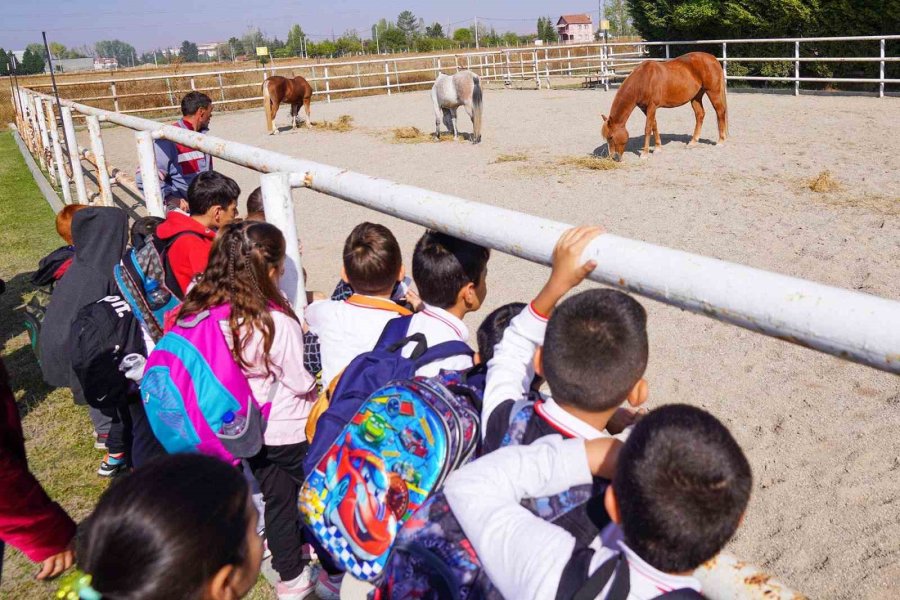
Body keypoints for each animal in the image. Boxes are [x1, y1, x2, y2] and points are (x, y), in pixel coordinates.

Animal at [600, 52, 728, 159]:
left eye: (610, 137)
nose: (613, 158)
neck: (642, 80)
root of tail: (713, 59)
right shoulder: (645, 108)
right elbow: (654, 125)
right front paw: (657, 148)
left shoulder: (652, 106)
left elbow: (647, 128)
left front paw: (645, 154)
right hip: (696, 96)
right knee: (700, 114)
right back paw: (693, 142)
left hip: (713, 92)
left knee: (720, 112)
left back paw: (721, 141)